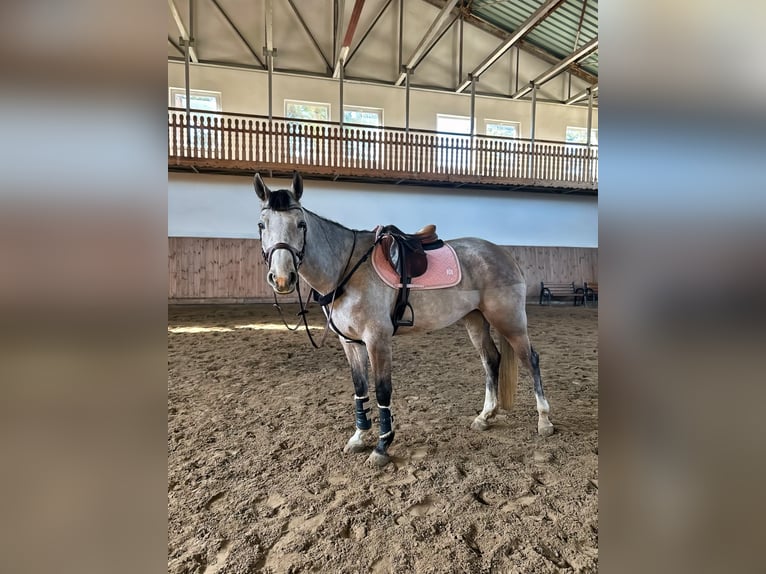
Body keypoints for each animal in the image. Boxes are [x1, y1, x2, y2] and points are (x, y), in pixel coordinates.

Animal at [253, 172, 553, 467]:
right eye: (261, 225)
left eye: (301, 224)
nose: (282, 278)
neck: (347, 269)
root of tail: (503, 253)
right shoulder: (350, 343)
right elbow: (360, 389)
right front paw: (359, 437)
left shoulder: (377, 340)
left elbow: (382, 391)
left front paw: (382, 447)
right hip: (476, 320)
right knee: (491, 360)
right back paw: (485, 416)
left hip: (510, 321)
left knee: (531, 360)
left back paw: (544, 421)